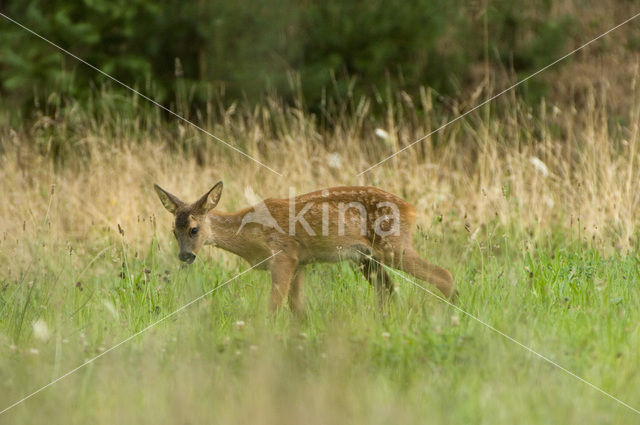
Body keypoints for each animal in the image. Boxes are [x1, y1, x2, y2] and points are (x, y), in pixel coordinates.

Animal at [154, 181, 456, 314]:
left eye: (194, 229)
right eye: (173, 231)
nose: (185, 255)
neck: (250, 234)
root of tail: (412, 209)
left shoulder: (283, 254)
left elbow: (274, 306)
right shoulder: (300, 262)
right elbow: (298, 309)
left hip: (393, 246)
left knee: (444, 275)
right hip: (366, 257)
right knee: (389, 292)